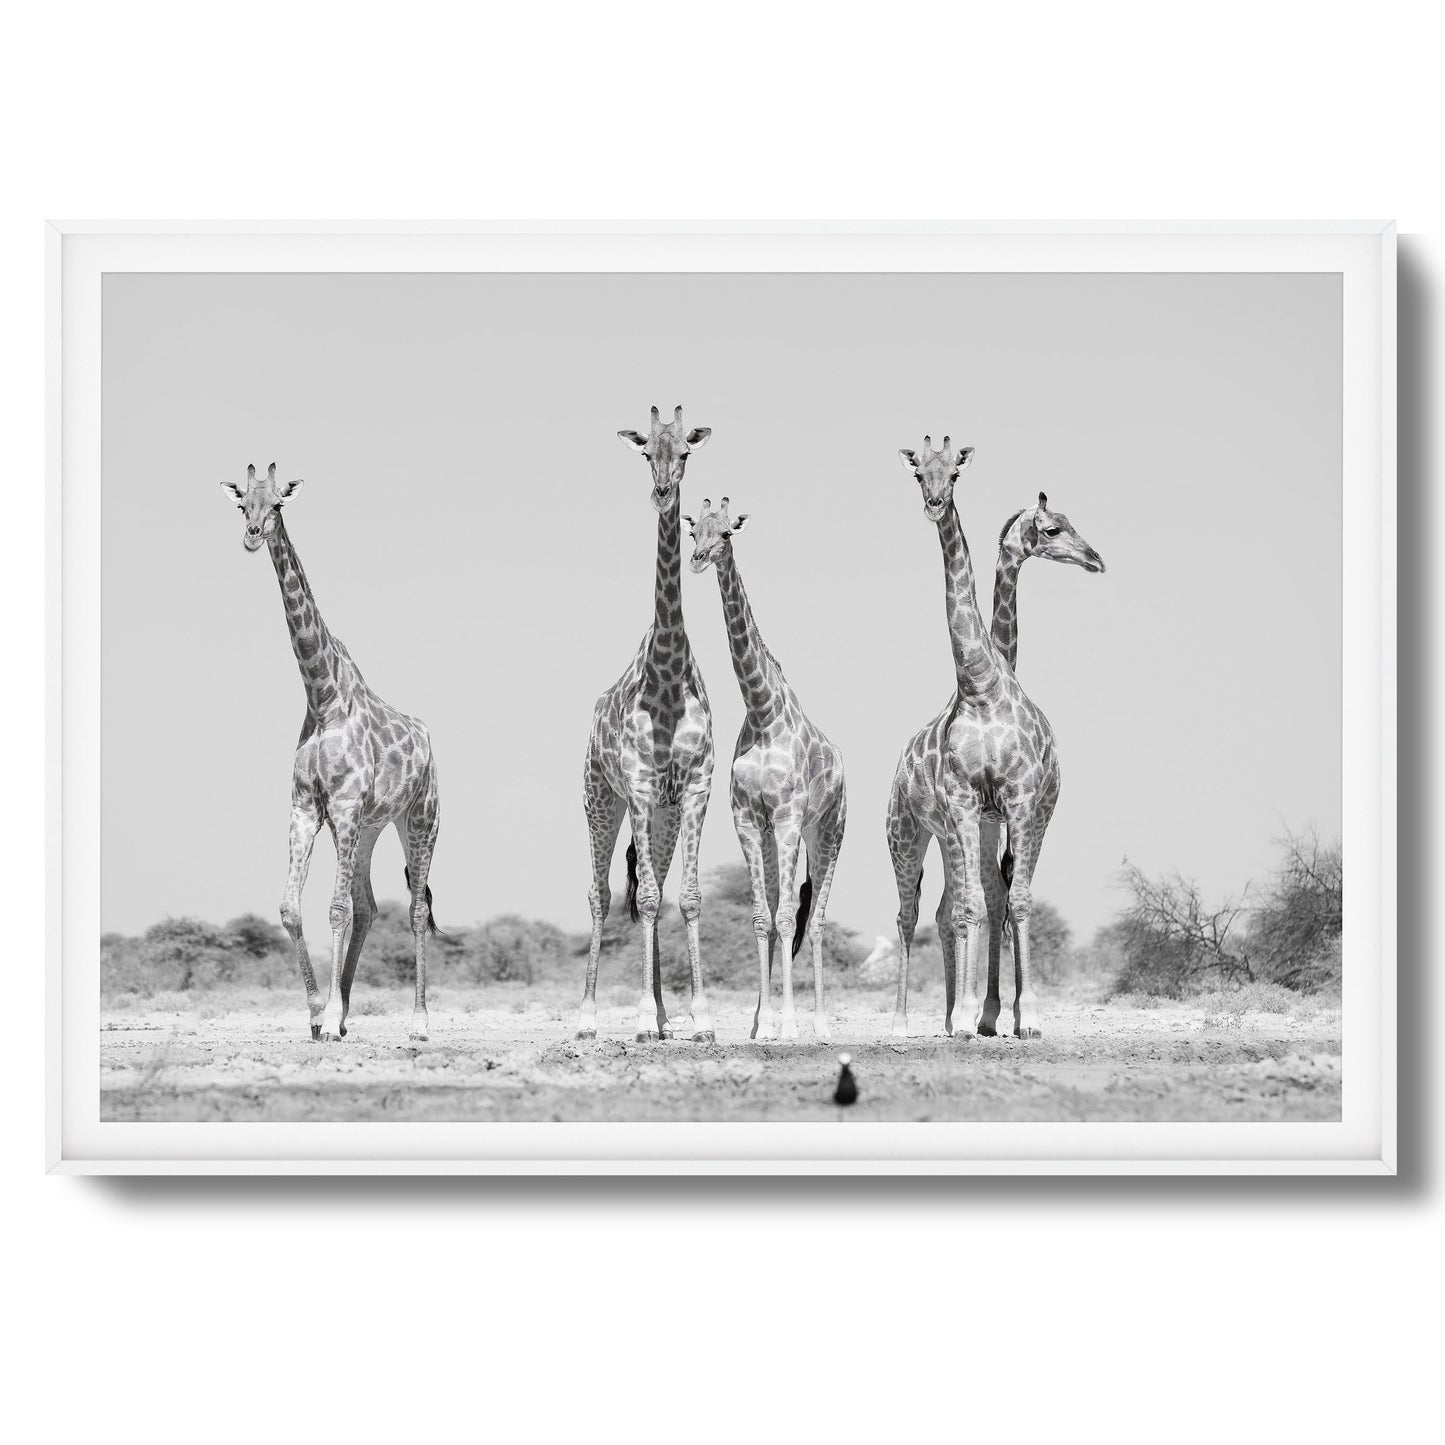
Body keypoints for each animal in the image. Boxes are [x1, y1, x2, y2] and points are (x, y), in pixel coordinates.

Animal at [220, 463, 442, 1043]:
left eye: (278, 503)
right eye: (242, 504)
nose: (252, 535)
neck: (322, 699)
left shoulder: (341, 807)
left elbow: (335, 909)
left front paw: (332, 1013)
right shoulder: (306, 807)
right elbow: (291, 909)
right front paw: (321, 1013)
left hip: (419, 819)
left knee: (414, 908)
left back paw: (419, 1021)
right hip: (369, 829)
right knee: (370, 906)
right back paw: (344, 1015)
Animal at [685, 498, 848, 1042]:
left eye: (726, 533)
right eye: (694, 529)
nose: (697, 558)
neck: (761, 711)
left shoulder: (788, 816)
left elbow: (785, 918)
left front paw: (790, 1025)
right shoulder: (747, 818)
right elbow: (761, 917)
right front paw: (761, 1024)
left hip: (827, 831)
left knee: (814, 920)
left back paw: (820, 1023)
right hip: (785, 834)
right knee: (786, 912)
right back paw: (770, 1020)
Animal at [884, 438, 1066, 1041]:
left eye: (956, 472)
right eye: (919, 472)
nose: (935, 502)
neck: (983, 685)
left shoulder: (1015, 804)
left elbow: (1007, 902)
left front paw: (1016, 1016)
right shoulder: (967, 804)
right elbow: (977, 907)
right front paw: (974, 1016)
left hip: (968, 831)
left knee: (963, 905)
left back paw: (958, 1014)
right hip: (907, 831)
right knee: (914, 912)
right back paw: (908, 1021)